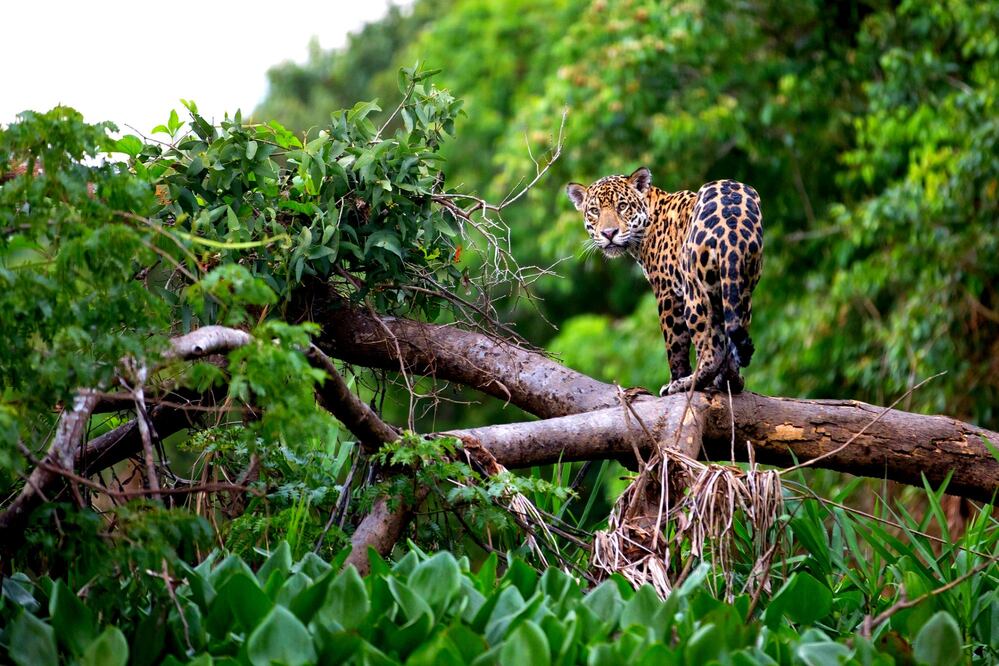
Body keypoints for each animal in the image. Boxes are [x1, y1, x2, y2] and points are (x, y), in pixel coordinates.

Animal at [566, 166, 763, 396]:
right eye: (595, 211)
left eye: (622, 206)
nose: (609, 233)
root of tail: (732, 226)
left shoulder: (667, 292)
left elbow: (675, 345)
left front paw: (675, 379)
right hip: (740, 289)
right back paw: (731, 380)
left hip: (695, 293)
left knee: (711, 350)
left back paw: (687, 383)